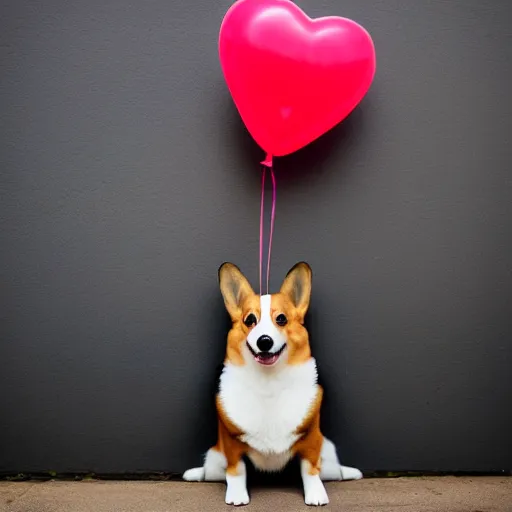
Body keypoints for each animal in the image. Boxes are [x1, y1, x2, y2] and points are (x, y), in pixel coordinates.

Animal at [182, 262, 362, 506]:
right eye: (250, 320)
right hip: (215, 458)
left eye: (282, 319)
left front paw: (316, 495)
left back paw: (347, 472)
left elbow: (310, 470)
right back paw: (196, 474)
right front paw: (237, 496)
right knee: (214, 473)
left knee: (331, 472)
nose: (264, 341)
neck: (269, 381)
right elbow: (236, 472)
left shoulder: (310, 441)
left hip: (328, 450)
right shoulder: (232, 445)